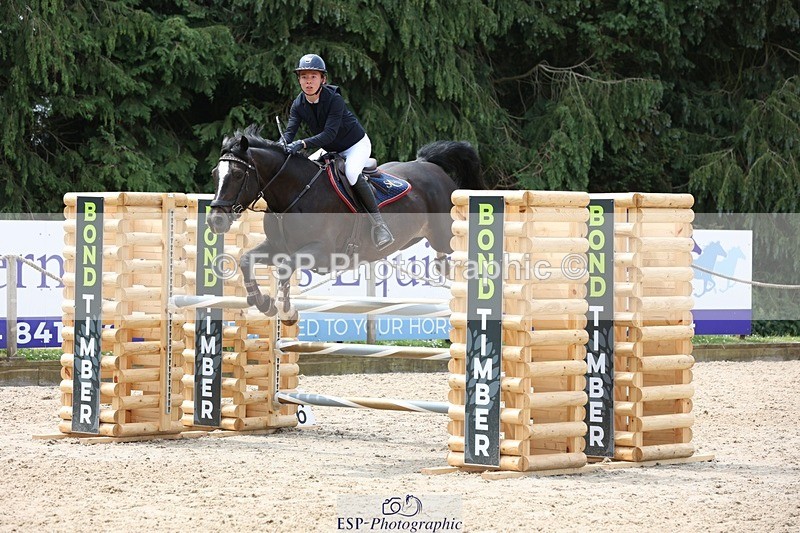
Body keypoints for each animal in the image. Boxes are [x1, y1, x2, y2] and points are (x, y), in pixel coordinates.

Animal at [207, 126, 486, 324]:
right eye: (214, 173)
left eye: (238, 174)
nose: (215, 221)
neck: (296, 192)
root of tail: (427, 164)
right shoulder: (277, 246)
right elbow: (246, 260)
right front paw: (263, 302)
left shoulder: (321, 253)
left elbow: (285, 269)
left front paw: (286, 311)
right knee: (443, 258)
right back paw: (442, 267)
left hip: (445, 233)